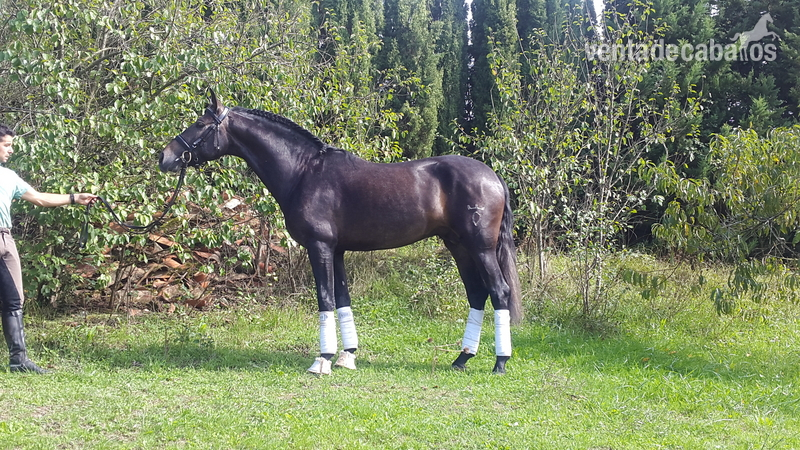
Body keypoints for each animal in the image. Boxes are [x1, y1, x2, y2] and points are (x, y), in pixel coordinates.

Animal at [159, 90, 522, 374]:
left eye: (201, 124)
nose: (165, 157)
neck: (304, 172)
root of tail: (492, 176)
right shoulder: (336, 250)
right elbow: (343, 299)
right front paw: (347, 356)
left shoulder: (319, 247)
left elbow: (325, 298)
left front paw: (323, 360)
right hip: (458, 246)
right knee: (477, 293)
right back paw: (462, 358)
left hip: (480, 248)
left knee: (499, 291)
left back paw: (499, 362)